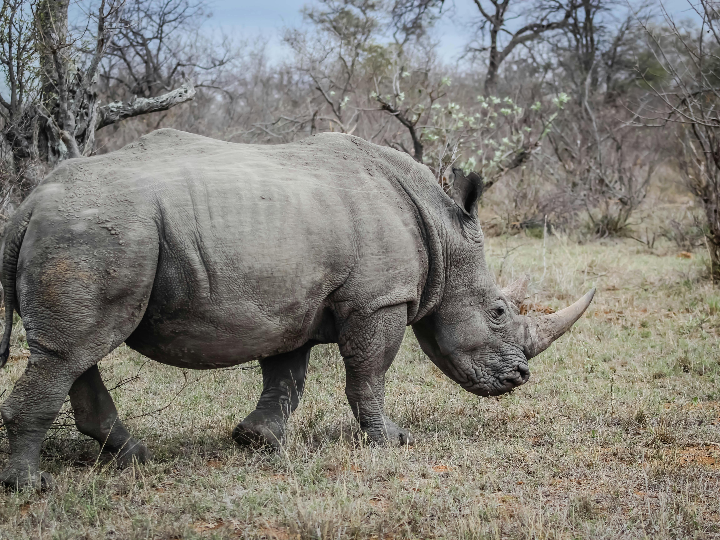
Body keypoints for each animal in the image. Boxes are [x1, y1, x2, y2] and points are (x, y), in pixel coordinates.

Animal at [0, 129, 594, 490]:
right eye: (498, 312)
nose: (519, 377)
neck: (443, 231)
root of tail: (28, 204)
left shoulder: (295, 299)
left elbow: (287, 374)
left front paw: (257, 441)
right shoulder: (378, 299)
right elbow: (369, 371)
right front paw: (391, 441)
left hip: (95, 233)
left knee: (76, 351)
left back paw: (134, 457)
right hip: (96, 235)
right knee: (71, 351)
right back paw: (32, 485)